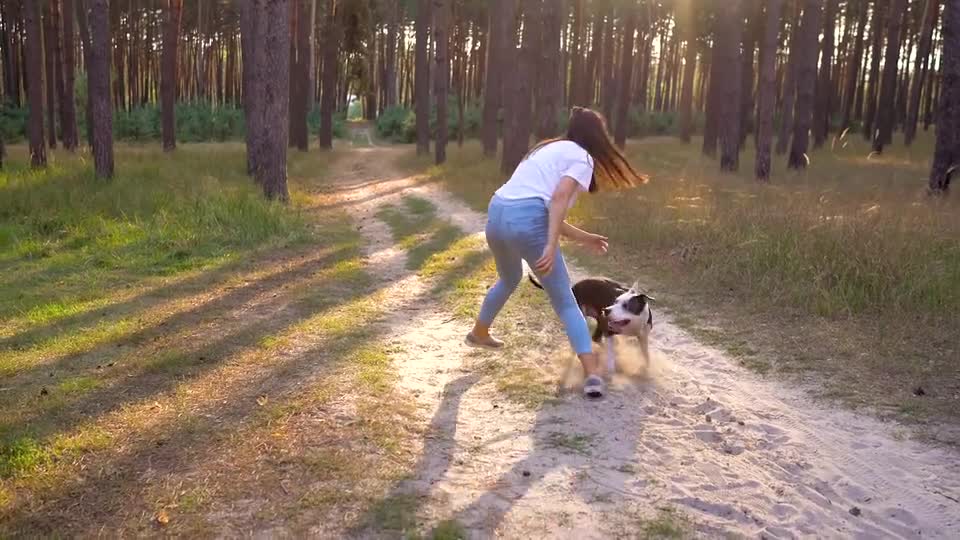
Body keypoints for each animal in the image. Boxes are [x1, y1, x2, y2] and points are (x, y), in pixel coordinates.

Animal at [524, 274, 652, 376]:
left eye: (626, 306)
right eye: (615, 302)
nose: (606, 310)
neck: (633, 325)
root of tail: (573, 287)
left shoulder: (643, 336)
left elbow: (645, 354)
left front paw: (646, 367)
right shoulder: (608, 330)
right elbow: (610, 354)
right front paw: (612, 367)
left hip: (599, 321)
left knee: (596, 338)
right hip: (586, 316)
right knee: (595, 338)